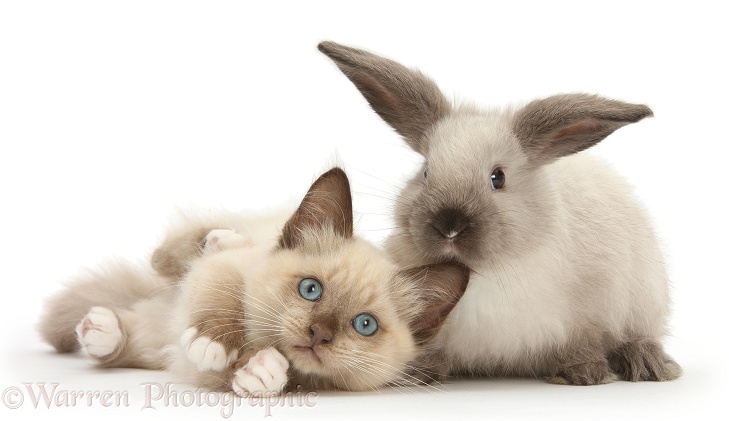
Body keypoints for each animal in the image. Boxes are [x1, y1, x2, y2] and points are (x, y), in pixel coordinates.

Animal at [39, 167, 470, 394]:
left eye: (365, 325)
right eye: (310, 289)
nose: (319, 333)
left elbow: (259, 375)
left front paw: (260, 372)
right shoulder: (228, 271)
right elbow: (225, 295)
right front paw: (213, 343)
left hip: (155, 341)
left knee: (133, 336)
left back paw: (100, 330)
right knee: (166, 259)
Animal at [320, 41, 684, 386]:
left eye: (498, 178)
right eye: (425, 171)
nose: (449, 226)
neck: (486, 273)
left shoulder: (591, 309)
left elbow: (584, 342)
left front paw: (583, 373)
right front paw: (417, 372)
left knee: (637, 336)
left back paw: (647, 362)